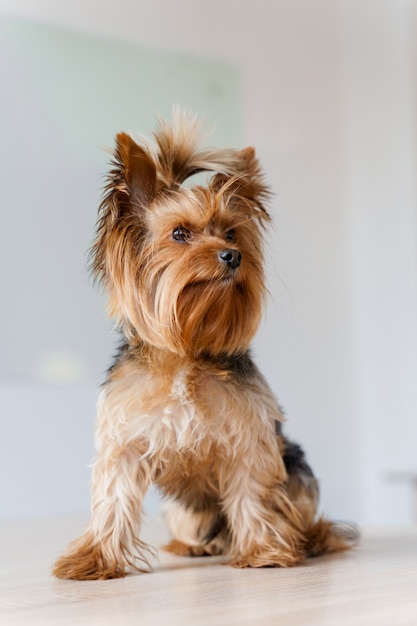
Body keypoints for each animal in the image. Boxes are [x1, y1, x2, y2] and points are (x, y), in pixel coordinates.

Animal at [52, 109, 356, 576]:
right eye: (179, 234)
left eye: (231, 234)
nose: (233, 256)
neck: (186, 351)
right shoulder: (124, 440)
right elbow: (113, 497)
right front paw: (94, 558)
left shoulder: (250, 436)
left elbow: (253, 491)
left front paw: (264, 552)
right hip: (180, 510)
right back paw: (193, 545)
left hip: (298, 469)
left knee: (305, 511)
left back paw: (307, 540)